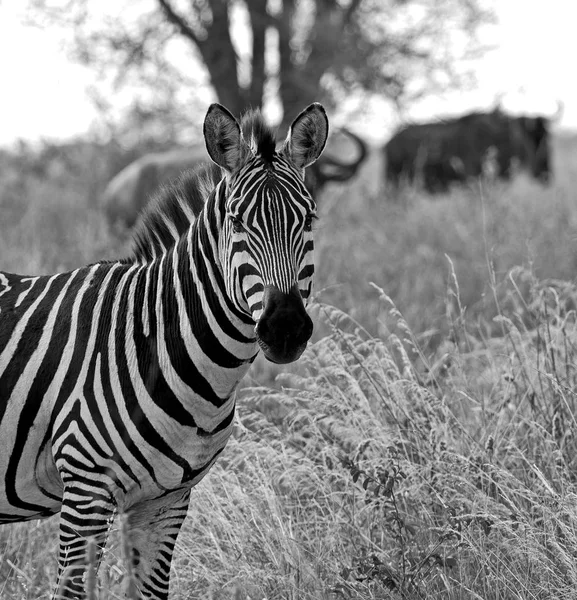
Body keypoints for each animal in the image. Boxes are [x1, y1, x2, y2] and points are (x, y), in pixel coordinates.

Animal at [0, 101, 328, 596]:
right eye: (235, 222)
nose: (285, 327)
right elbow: (73, 589)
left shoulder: (167, 501)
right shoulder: (85, 491)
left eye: (308, 220)